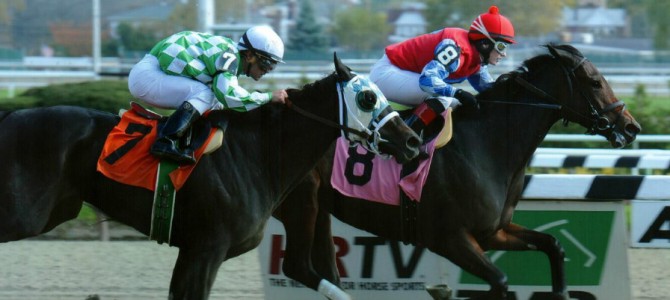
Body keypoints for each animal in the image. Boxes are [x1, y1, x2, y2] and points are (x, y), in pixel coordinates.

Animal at [0, 55, 422, 298]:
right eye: (368, 97)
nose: (413, 141)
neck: (258, 151)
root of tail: (10, 116)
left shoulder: (194, 252)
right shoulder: (206, 250)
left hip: (57, 210)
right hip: (25, 215)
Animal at [274, 44, 644, 300]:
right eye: (594, 82)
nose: (631, 127)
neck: (486, 144)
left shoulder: (493, 232)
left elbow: (553, 245)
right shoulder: (449, 239)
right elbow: (500, 281)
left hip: (320, 208)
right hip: (300, 205)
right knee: (298, 265)